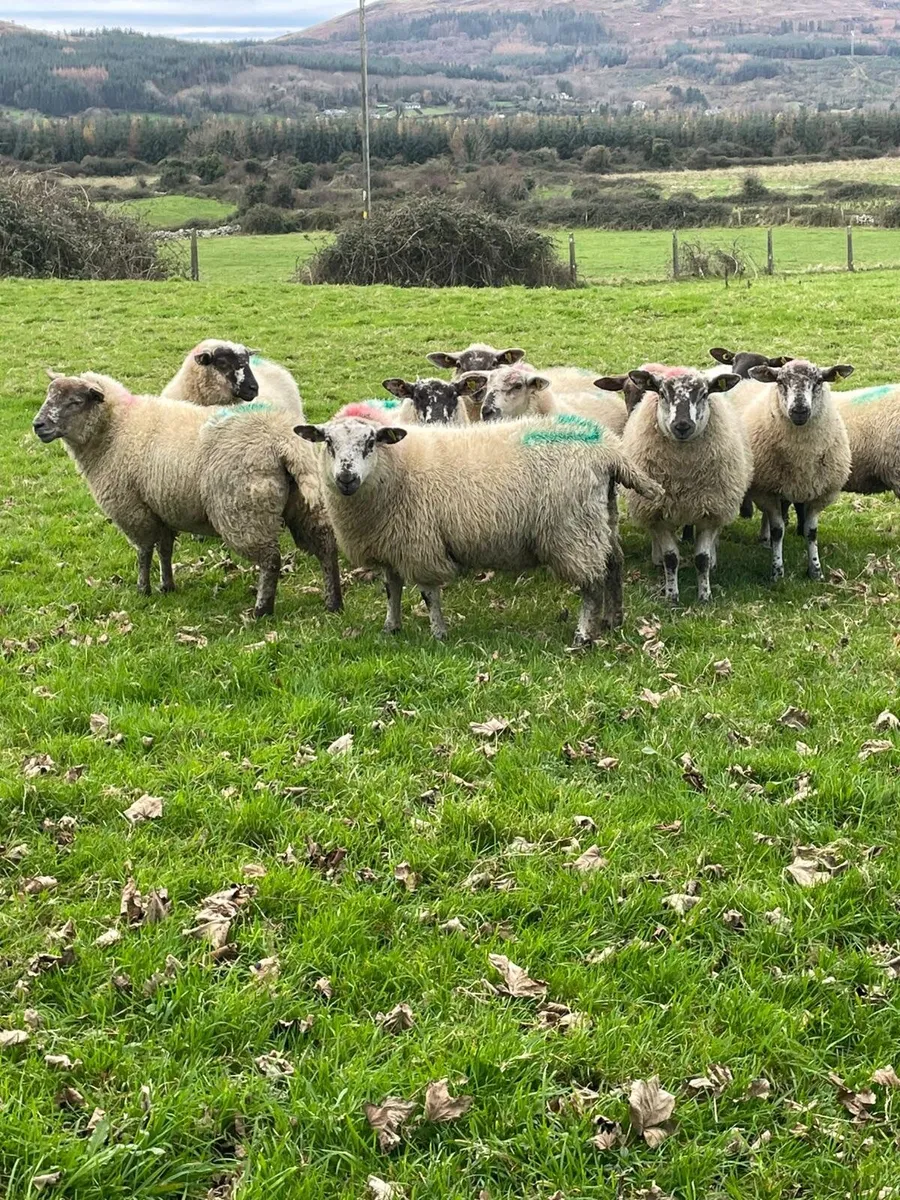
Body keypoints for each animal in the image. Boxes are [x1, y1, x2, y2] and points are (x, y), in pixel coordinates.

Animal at [33, 372, 341, 617]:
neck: (115, 429)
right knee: (326, 547)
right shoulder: (161, 508)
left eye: (74, 401)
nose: (38, 425)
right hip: (304, 504)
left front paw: (142, 589)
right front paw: (167, 585)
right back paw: (333, 601)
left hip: (243, 511)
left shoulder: (133, 510)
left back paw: (262, 609)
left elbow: (144, 552)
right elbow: (165, 549)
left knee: (271, 560)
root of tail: (283, 441)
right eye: (49, 396)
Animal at [294, 413, 663, 647]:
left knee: (591, 583)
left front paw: (438, 634)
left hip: (573, 529)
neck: (394, 470)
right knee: (613, 565)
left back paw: (584, 635)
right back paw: (613, 620)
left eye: (370, 442)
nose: (346, 477)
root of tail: (609, 451)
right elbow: (392, 590)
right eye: (328, 442)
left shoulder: (420, 543)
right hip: (601, 518)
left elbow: (428, 594)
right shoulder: (392, 544)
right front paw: (391, 627)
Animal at [619, 368, 750, 605]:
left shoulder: (711, 511)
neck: (684, 477)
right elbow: (671, 558)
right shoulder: (658, 514)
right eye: (662, 393)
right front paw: (672, 596)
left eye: (704, 394)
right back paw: (657, 558)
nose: (682, 426)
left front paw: (705, 596)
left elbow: (702, 558)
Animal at [742, 359, 853, 581]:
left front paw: (816, 571)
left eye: (819, 381)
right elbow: (778, 530)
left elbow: (811, 532)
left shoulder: (820, 494)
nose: (799, 410)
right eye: (780, 381)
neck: (801, 457)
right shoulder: (767, 491)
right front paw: (777, 572)